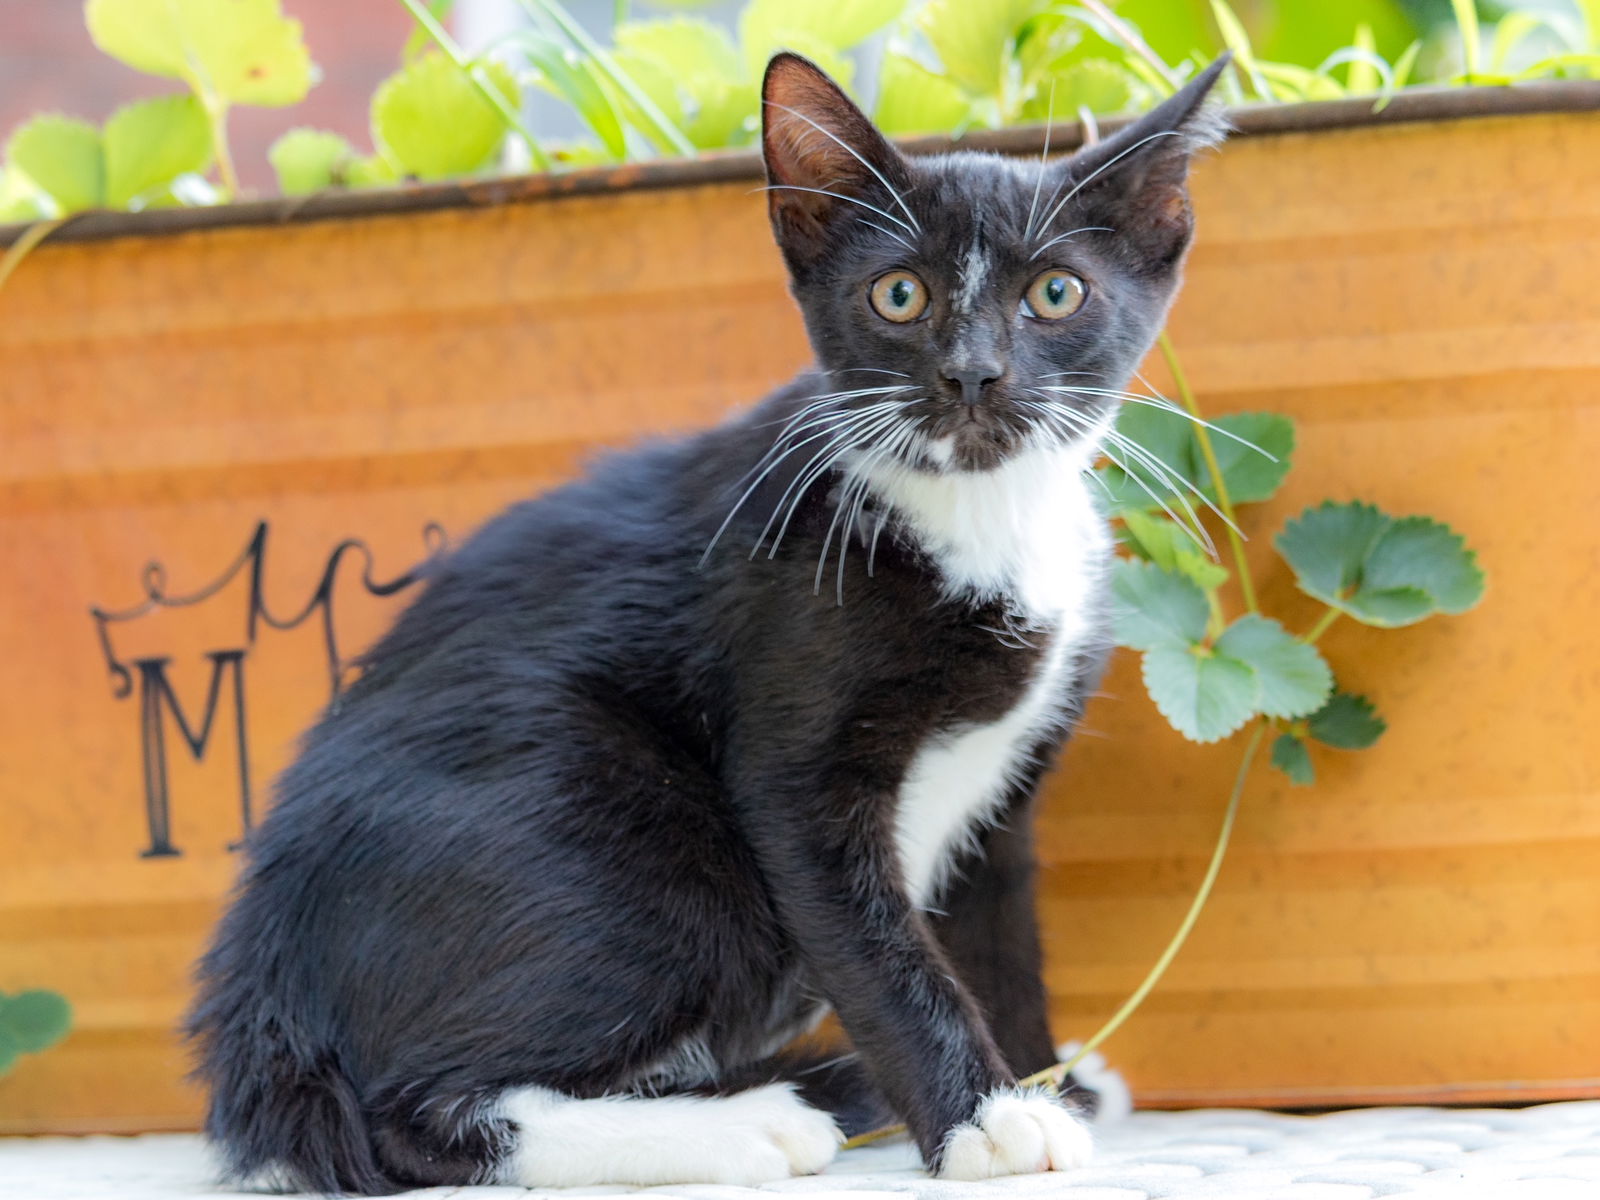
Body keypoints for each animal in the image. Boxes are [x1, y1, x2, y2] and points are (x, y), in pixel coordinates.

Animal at [187, 51, 1222, 1196]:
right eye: (899, 294)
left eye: (1055, 293)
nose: (972, 374)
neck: (974, 513)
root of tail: (264, 1004)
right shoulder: (790, 742)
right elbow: (879, 947)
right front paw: (986, 1120)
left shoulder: (1008, 792)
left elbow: (999, 939)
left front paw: (1045, 1083)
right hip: (627, 842)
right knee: (412, 1111)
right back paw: (750, 1123)